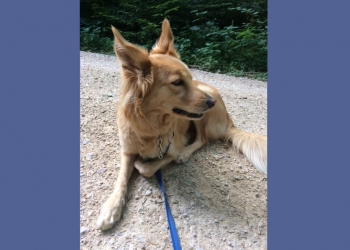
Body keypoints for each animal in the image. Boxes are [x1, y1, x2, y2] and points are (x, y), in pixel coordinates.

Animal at [95, 19, 266, 230]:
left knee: (203, 140)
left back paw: (186, 153)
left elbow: (146, 168)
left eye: (191, 79)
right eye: (177, 82)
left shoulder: (171, 149)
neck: (151, 126)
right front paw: (111, 208)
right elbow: (121, 178)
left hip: (201, 118)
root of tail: (227, 117)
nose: (211, 103)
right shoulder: (127, 149)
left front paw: (142, 163)